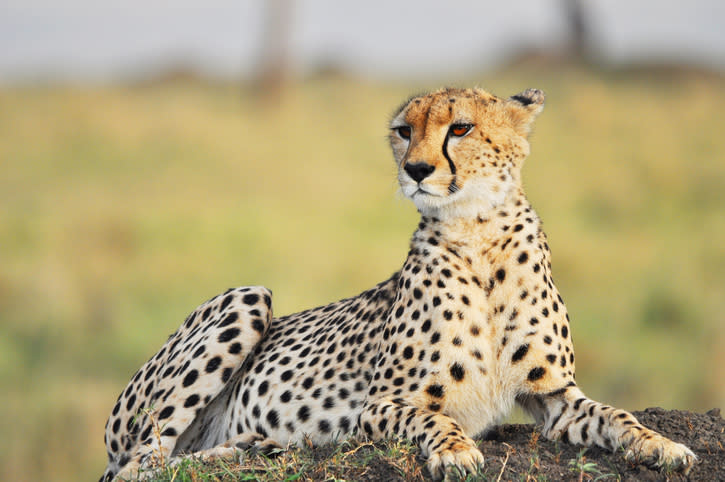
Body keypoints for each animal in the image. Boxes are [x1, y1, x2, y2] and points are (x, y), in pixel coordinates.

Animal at [102, 85, 696, 478]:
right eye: (404, 131)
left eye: (461, 128)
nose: (416, 169)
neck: (478, 235)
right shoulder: (380, 404)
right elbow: (432, 420)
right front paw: (455, 451)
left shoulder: (553, 394)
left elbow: (614, 414)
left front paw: (661, 445)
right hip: (246, 297)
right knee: (141, 464)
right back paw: (242, 448)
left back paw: (251, 445)